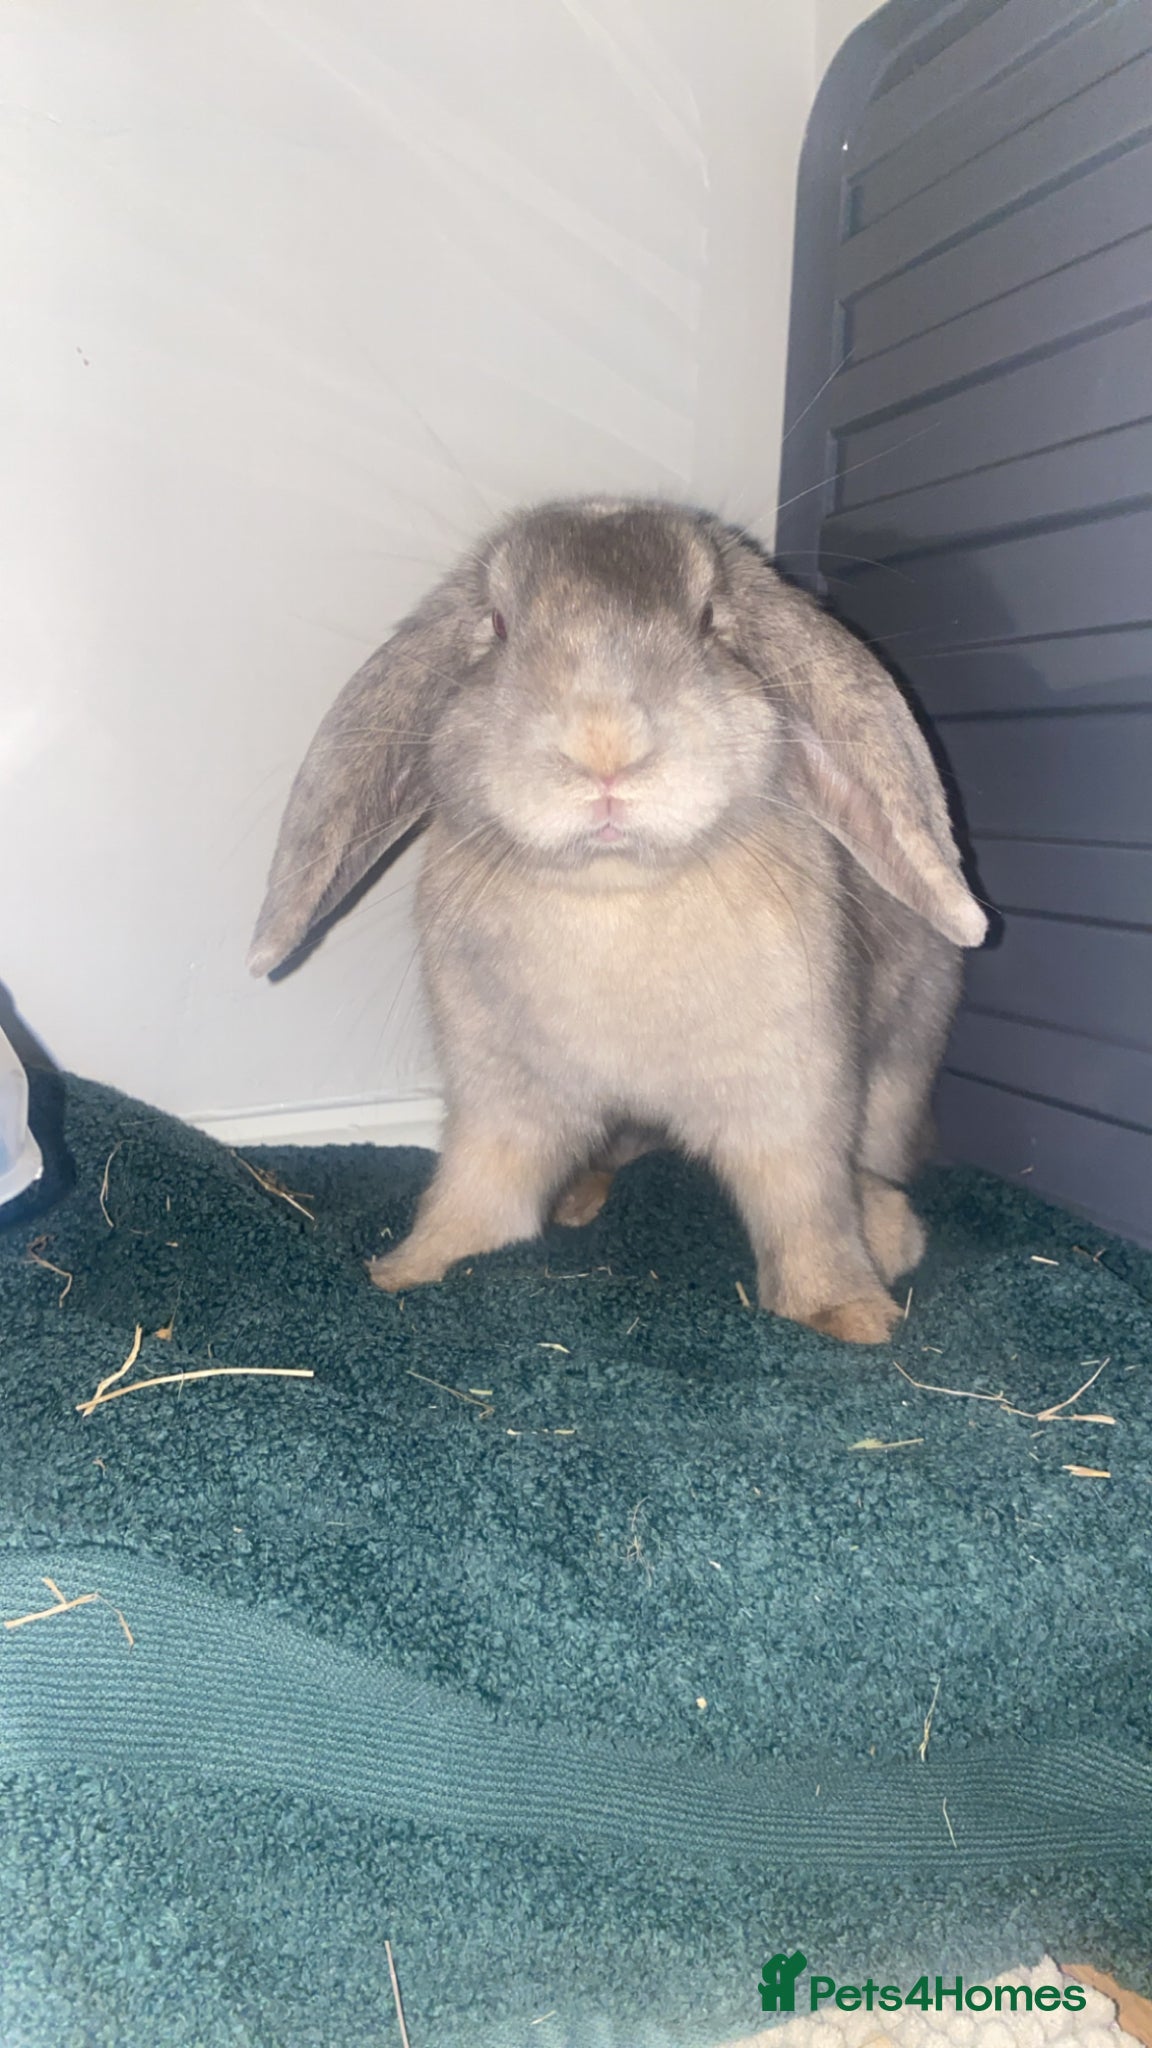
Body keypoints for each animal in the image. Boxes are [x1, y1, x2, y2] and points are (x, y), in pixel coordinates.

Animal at [249, 498, 986, 1343]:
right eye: (498, 624)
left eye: (709, 620)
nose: (603, 743)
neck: (616, 894)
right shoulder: (501, 1104)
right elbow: (477, 1197)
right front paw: (406, 1271)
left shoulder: (793, 1101)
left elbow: (805, 1210)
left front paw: (848, 1316)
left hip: (899, 1074)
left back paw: (891, 1230)